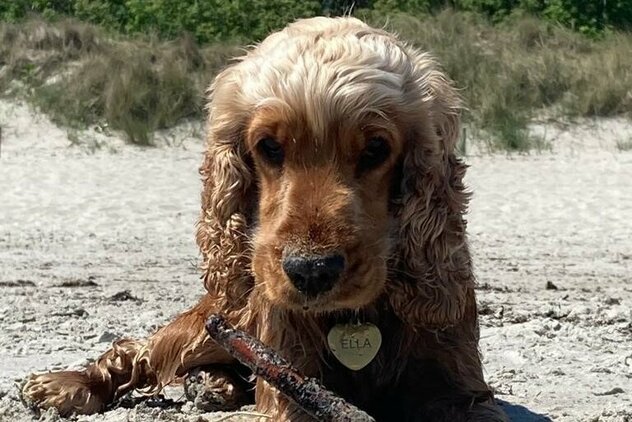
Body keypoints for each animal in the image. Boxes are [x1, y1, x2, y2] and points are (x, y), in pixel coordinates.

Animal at [22, 16, 508, 422]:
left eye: (376, 149)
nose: (311, 271)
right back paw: (68, 385)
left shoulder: (458, 387)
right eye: (269, 147)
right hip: (212, 321)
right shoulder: (289, 381)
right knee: (138, 352)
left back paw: (213, 386)